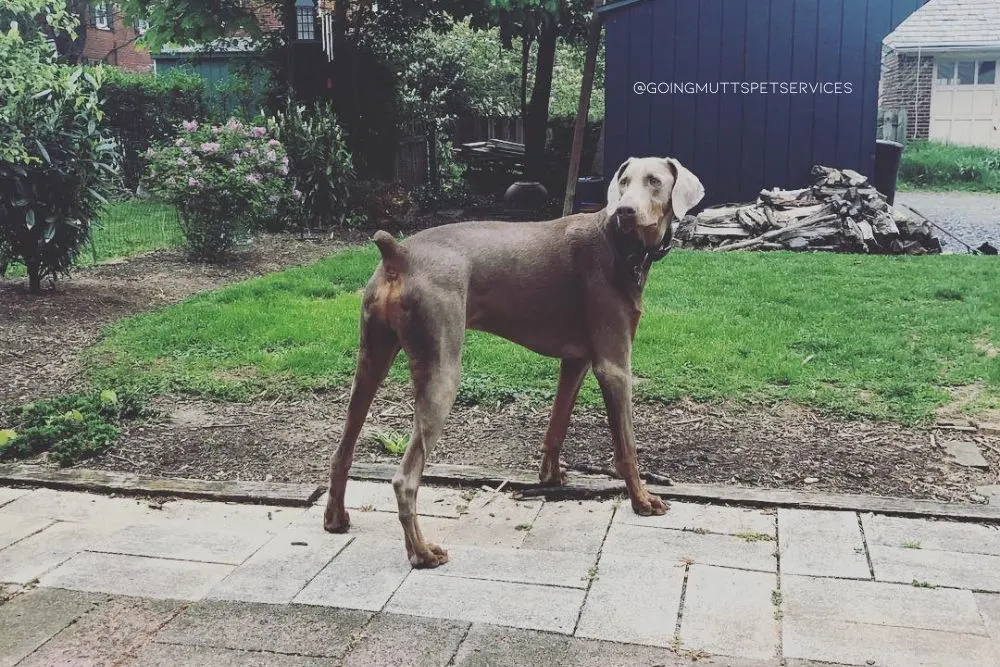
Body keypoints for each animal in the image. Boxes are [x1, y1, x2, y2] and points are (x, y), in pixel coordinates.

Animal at [326, 158, 704, 568]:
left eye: (654, 181)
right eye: (624, 181)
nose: (625, 211)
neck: (620, 245)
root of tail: (398, 254)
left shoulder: (575, 360)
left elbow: (557, 424)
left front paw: (550, 477)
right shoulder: (614, 364)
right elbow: (627, 447)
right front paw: (642, 499)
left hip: (371, 359)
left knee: (342, 450)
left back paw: (336, 519)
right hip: (441, 369)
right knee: (404, 479)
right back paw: (422, 553)